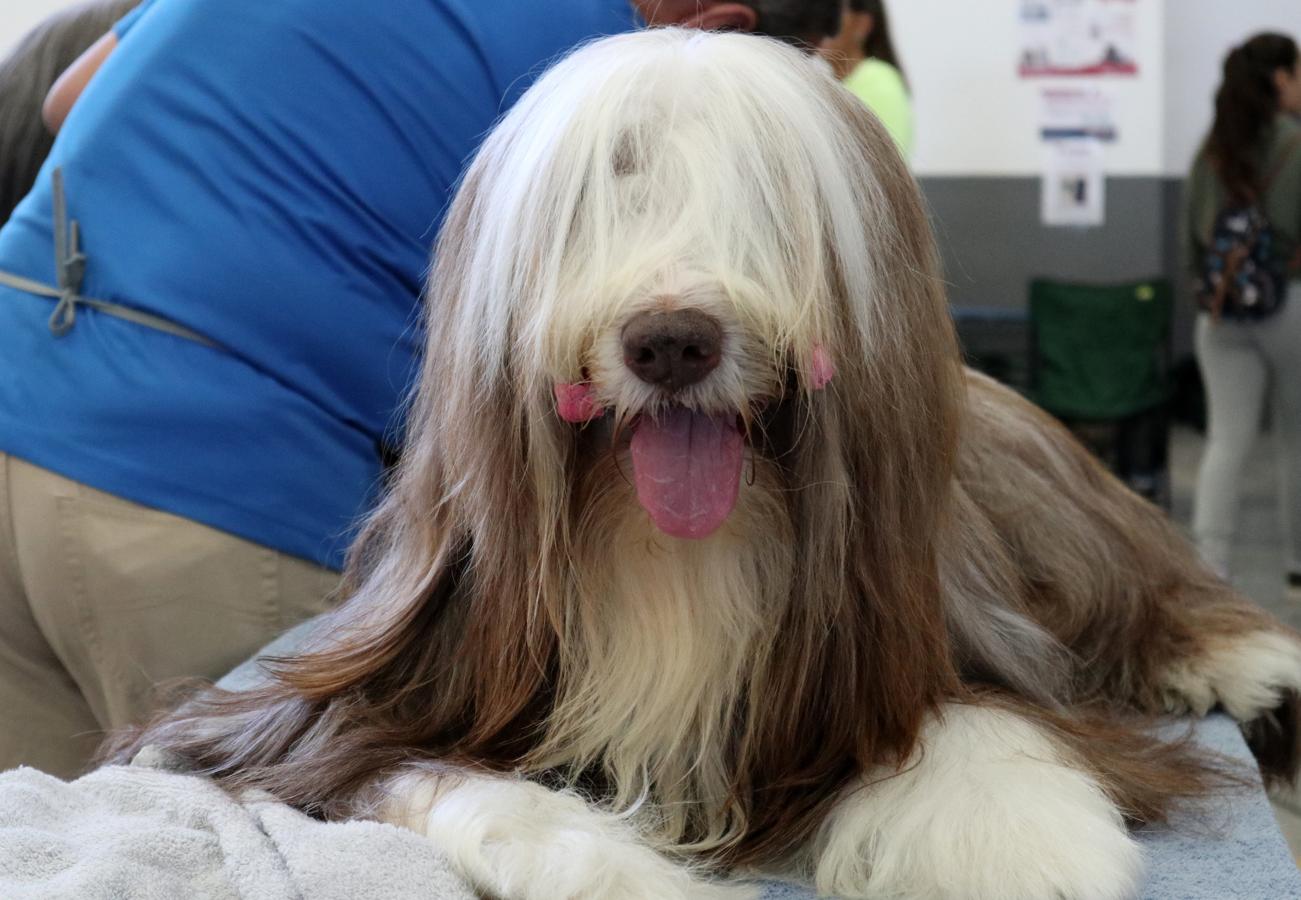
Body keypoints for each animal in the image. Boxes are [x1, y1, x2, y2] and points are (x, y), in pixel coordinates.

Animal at [114, 28, 1301, 900]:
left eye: (768, 192)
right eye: (607, 187)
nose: (672, 340)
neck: (671, 551)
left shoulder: (920, 633)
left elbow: (976, 717)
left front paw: (1016, 842)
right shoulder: (332, 715)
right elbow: (417, 777)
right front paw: (601, 862)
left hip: (1067, 535)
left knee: (1149, 597)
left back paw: (1252, 668)